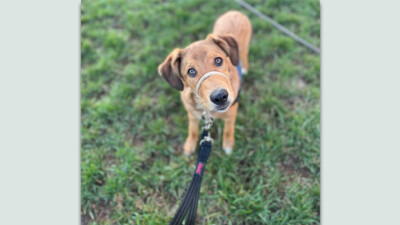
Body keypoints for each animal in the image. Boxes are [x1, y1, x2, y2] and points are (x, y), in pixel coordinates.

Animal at [158, 10, 252, 155]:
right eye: (191, 71)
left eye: (218, 60)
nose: (220, 97)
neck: (205, 107)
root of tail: (234, 12)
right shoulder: (192, 115)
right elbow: (192, 130)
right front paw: (189, 145)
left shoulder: (231, 115)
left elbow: (228, 130)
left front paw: (228, 144)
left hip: (244, 47)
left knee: (244, 54)